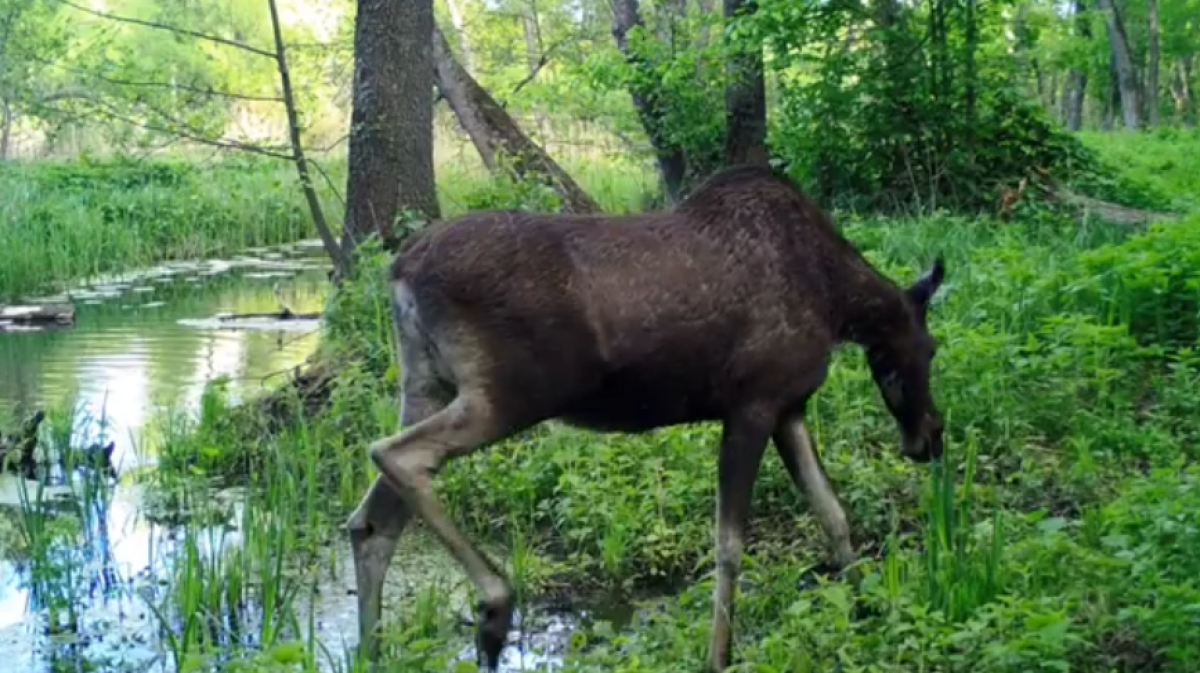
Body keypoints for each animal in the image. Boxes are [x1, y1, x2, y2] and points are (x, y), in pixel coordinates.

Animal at [348, 164, 945, 671]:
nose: (931, 437)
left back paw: (373, 651)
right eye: (931, 348)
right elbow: (730, 549)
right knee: (394, 455)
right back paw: (495, 606)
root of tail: (400, 270)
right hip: (509, 394)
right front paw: (718, 656)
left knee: (371, 521)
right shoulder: (752, 405)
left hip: (427, 384)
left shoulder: (788, 408)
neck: (838, 300)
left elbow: (834, 516)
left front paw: (871, 607)